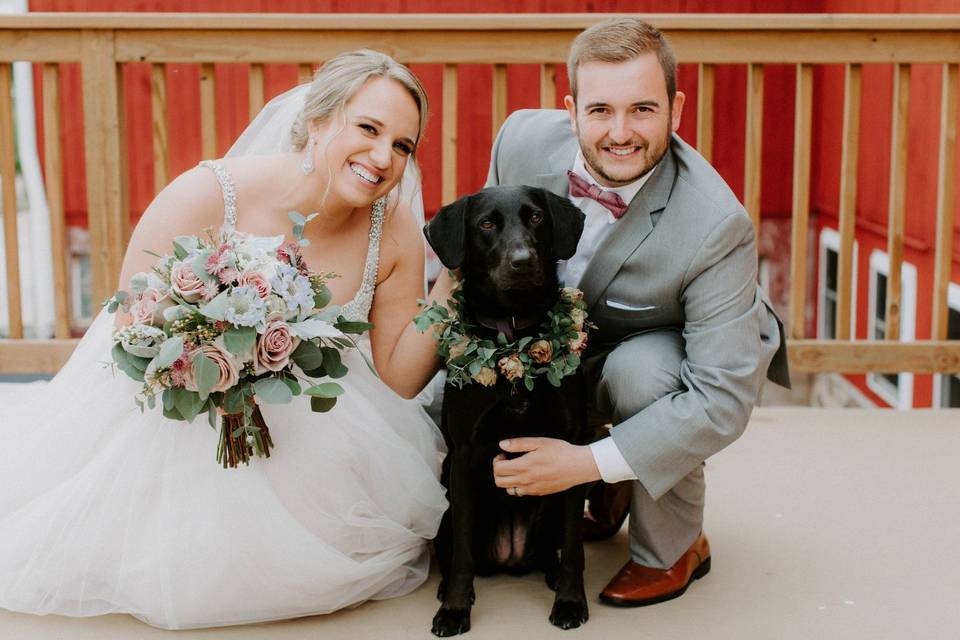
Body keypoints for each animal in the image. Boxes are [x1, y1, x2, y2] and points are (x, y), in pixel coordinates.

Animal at [428, 185, 592, 636]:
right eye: (486, 224)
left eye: (536, 217)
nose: (522, 261)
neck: (515, 335)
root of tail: (511, 556)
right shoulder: (465, 453)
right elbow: (462, 555)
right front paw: (455, 609)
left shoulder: (571, 447)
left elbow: (574, 546)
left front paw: (570, 601)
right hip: (447, 504)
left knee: (557, 548)